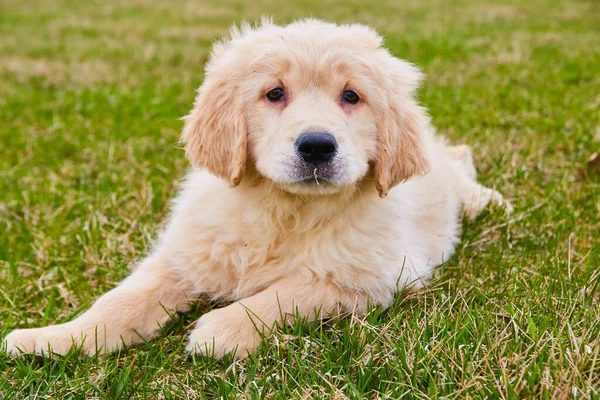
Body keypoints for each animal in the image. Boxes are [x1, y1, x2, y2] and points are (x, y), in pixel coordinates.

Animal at [4, 18, 510, 360]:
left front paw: (220, 329)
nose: (317, 146)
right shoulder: (185, 254)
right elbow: (119, 301)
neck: (285, 209)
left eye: (351, 96)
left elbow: (289, 292)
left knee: (459, 168)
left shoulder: (368, 276)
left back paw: (491, 200)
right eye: (274, 93)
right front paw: (53, 338)